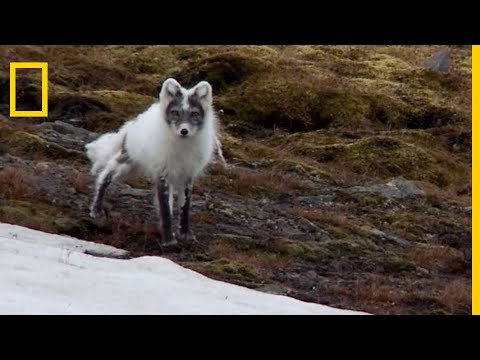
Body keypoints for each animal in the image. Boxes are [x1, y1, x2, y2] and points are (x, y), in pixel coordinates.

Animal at [85, 79, 227, 246]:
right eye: (175, 112)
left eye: (194, 114)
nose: (184, 131)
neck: (182, 147)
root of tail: (133, 123)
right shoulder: (162, 173)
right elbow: (165, 209)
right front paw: (169, 241)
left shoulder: (187, 175)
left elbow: (184, 207)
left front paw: (185, 234)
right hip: (125, 163)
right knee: (104, 176)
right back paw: (96, 210)